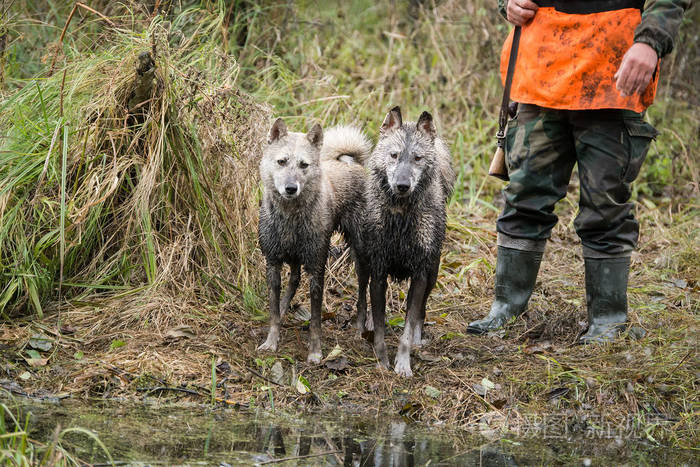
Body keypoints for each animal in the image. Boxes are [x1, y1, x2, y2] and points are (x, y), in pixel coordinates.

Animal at [256, 119, 372, 364]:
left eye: (304, 165)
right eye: (281, 161)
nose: (291, 188)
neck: (290, 216)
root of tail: (352, 163)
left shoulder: (316, 268)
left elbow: (316, 320)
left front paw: (315, 353)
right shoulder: (273, 263)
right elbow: (273, 311)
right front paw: (271, 341)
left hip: (360, 256)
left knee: (363, 293)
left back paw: (361, 329)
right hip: (294, 259)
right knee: (293, 281)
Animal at [364, 106, 456, 376]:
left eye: (417, 158)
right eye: (394, 155)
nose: (402, 185)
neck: (401, 217)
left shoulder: (420, 275)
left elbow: (408, 326)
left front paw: (403, 364)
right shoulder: (378, 272)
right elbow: (381, 328)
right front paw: (382, 361)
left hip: (432, 273)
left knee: (420, 312)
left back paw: (417, 337)